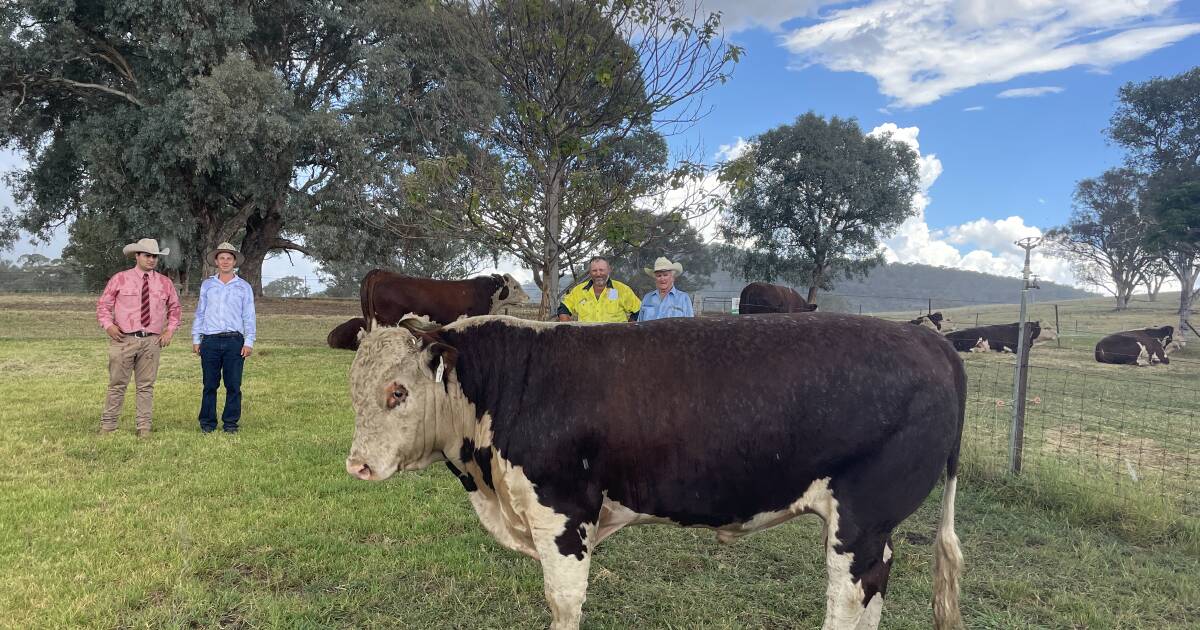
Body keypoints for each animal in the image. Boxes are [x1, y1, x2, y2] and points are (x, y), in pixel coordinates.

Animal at [345, 312, 964, 624]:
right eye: (354, 387)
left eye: (397, 391)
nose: (357, 466)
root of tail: (926, 340)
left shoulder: (564, 511)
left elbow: (563, 600)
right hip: (875, 529)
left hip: (860, 520)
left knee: (847, 599)